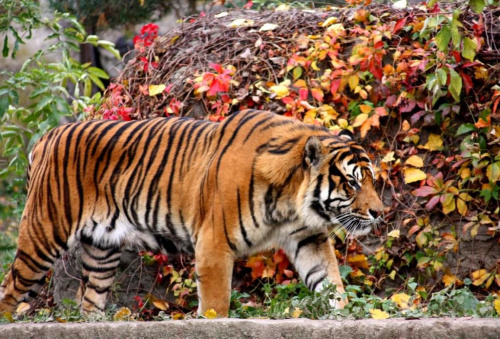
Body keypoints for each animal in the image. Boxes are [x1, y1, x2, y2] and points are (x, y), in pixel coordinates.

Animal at [0, 110, 382, 318]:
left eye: (372, 180)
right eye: (352, 183)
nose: (379, 212)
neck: (291, 201)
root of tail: (46, 136)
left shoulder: (308, 238)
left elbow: (329, 281)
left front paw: (345, 314)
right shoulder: (214, 242)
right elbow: (217, 301)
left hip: (102, 249)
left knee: (89, 300)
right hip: (43, 234)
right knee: (10, 288)